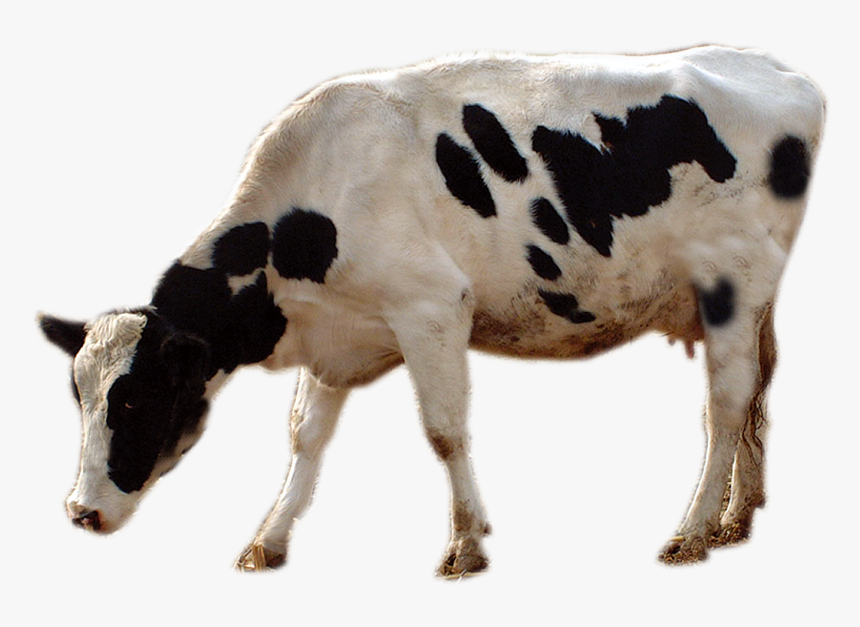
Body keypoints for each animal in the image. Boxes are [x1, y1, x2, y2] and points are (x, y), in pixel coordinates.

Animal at [39, 45, 824, 576]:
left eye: (134, 400)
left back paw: (693, 530)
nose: (80, 511)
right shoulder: (336, 338)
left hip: (728, 284)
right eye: (80, 397)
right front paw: (269, 538)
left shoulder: (432, 307)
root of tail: (780, 72)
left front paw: (466, 543)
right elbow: (304, 438)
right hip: (755, 301)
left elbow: (445, 432)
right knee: (757, 392)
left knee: (725, 405)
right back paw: (737, 516)